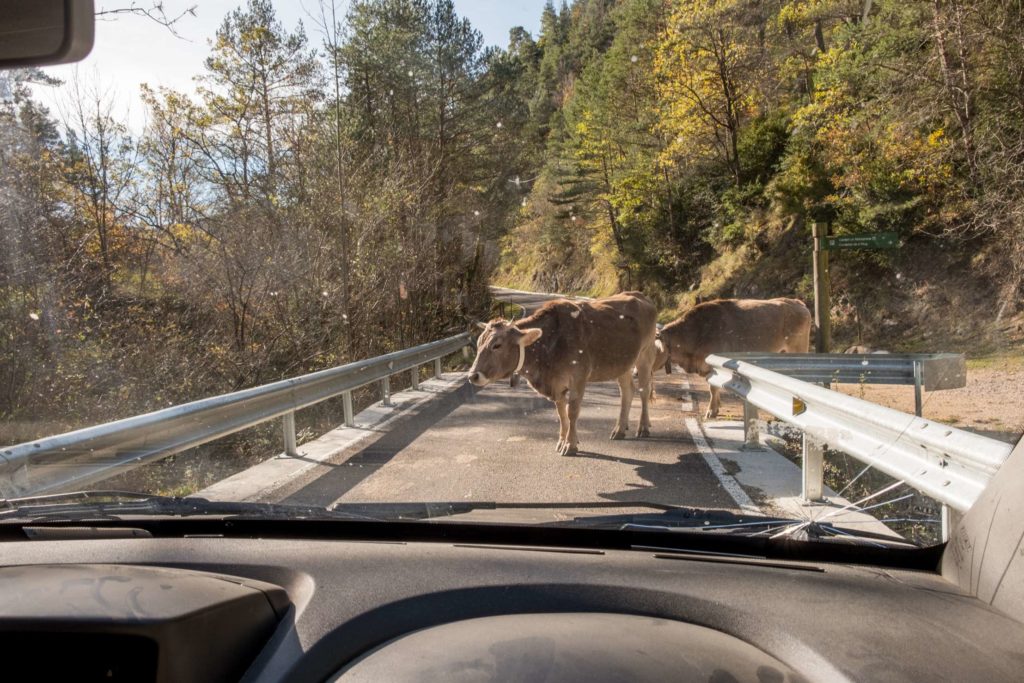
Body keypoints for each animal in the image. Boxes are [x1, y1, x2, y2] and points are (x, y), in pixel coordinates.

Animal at [468, 290, 659, 456]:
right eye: (478, 343)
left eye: (497, 345)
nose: (472, 375)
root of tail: (639, 295)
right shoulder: (556, 384)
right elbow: (561, 413)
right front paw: (561, 441)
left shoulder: (578, 377)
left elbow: (572, 411)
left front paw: (570, 445)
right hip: (622, 363)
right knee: (627, 391)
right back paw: (619, 429)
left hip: (645, 354)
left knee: (644, 390)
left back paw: (643, 427)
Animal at [659, 296, 811, 419]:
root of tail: (796, 302)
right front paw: (717, 407)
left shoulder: (713, 365)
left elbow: (712, 388)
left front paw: (711, 411)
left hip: (798, 351)